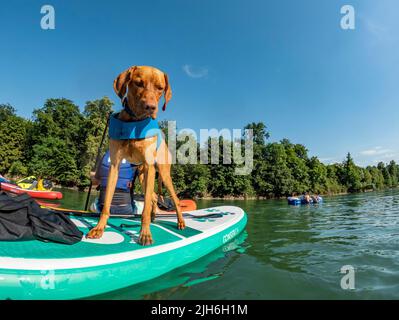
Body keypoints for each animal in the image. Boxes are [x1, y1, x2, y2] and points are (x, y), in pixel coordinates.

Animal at [87, 65, 186, 245]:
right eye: (138, 83)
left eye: (160, 88)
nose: (150, 107)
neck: (134, 122)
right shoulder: (115, 166)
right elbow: (107, 204)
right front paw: (99, 228)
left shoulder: (149, 166)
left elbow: (145, 207)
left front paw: (145, 234)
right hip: (142, 176)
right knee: (153, 198)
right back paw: (154, 217)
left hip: (162, 173)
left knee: (173, 199)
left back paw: (180, 222)